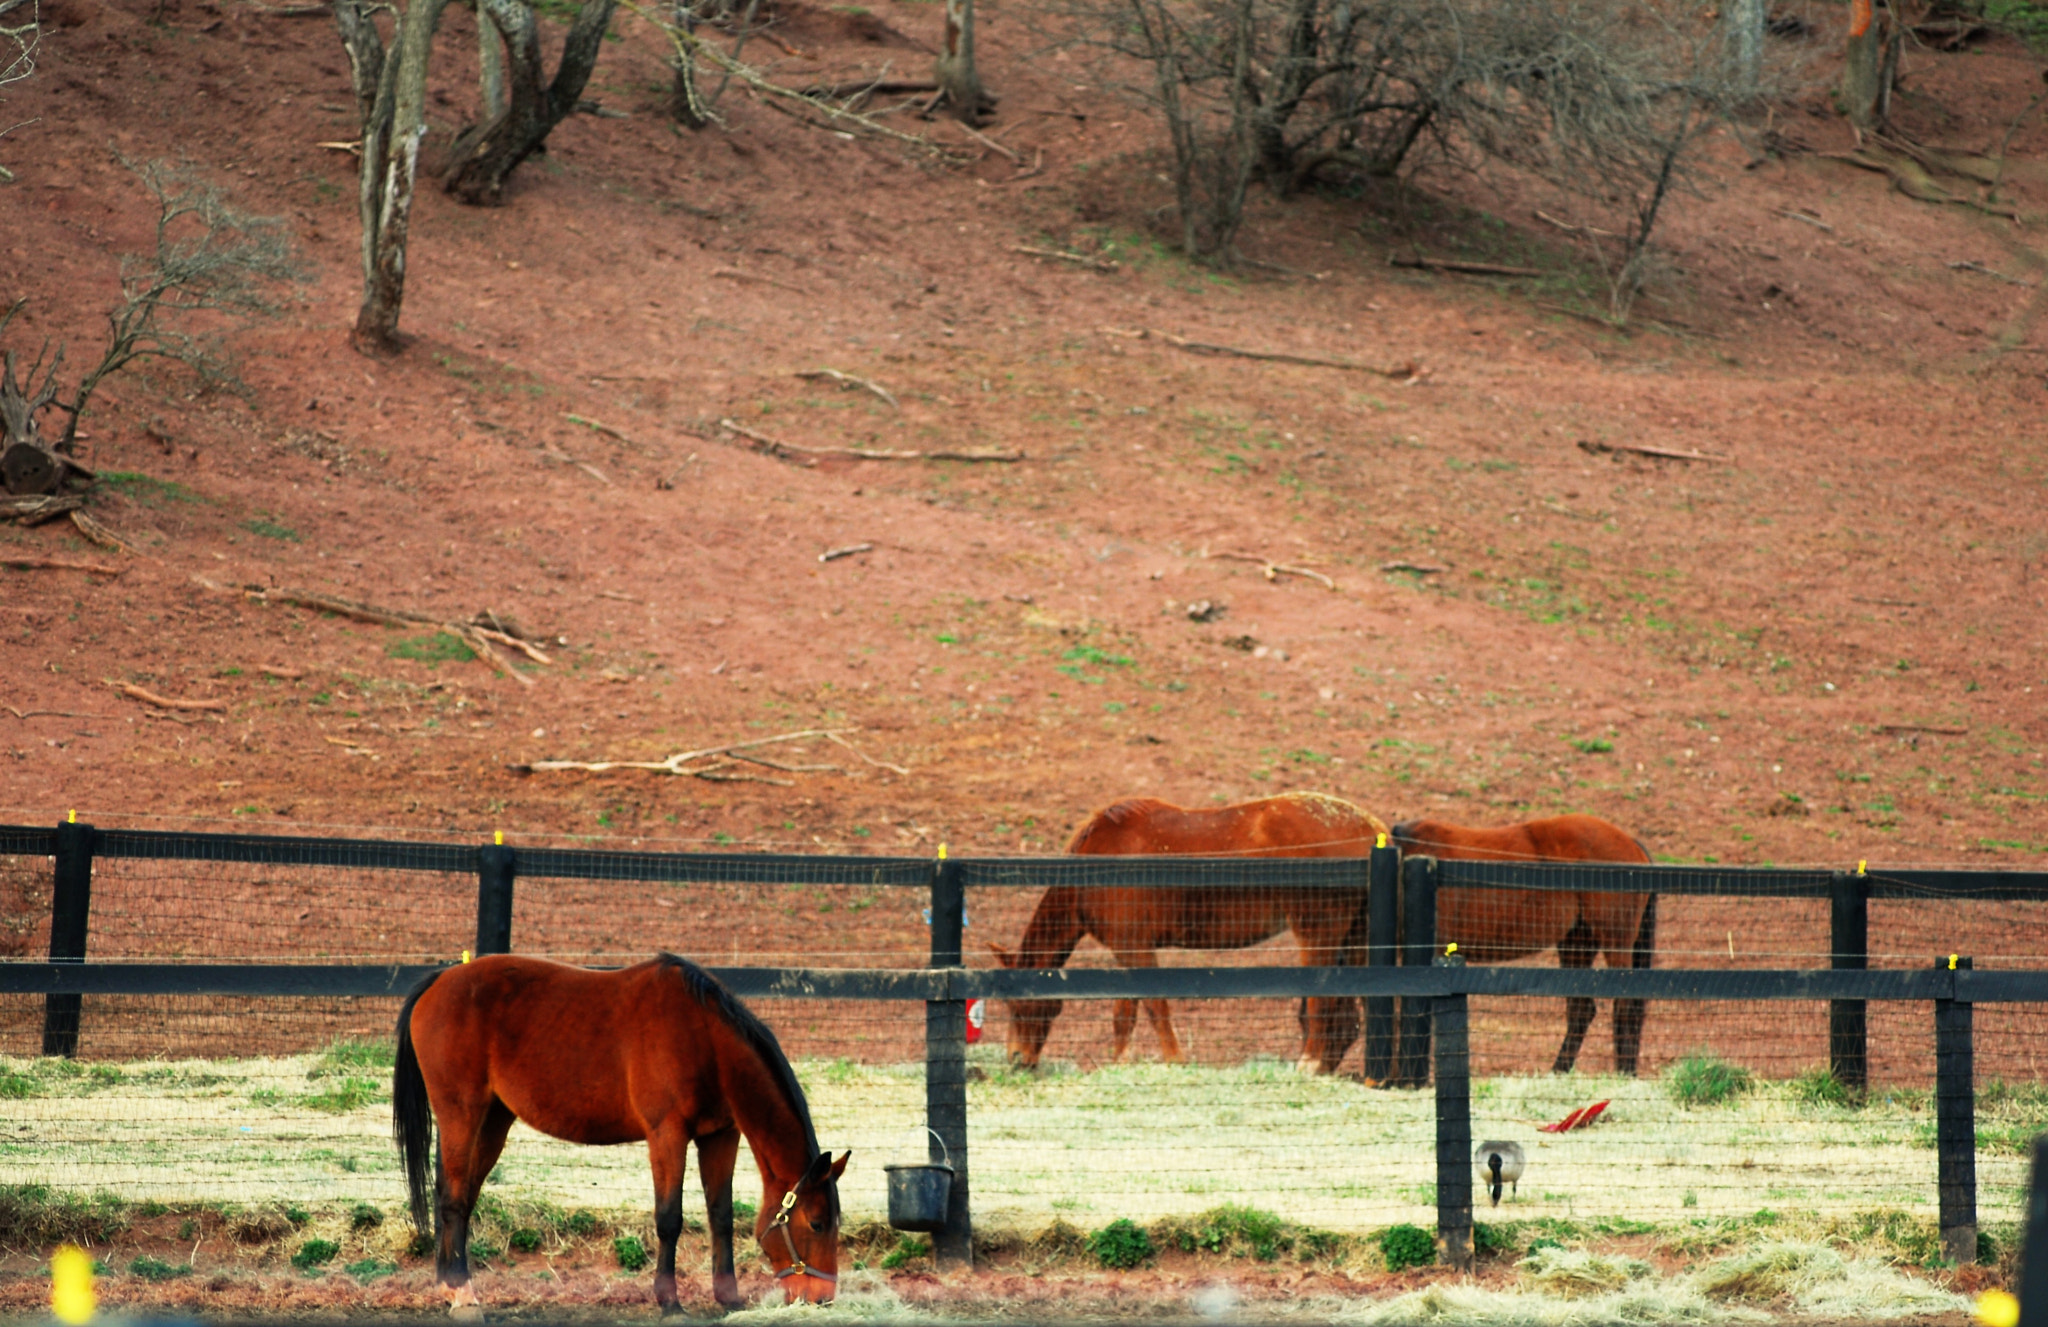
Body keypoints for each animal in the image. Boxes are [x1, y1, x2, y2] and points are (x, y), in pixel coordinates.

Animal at [391, 954, 847, 1318]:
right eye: (817, 1223)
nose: (823, 1298)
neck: (704, 1038)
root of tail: (440, 980)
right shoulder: (667, 1135)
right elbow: (669, 1219)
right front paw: (670, 1303)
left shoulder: (720, 1136)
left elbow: (720, 1214)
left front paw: (728, 1298)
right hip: (461, 1114)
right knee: (452, 1199)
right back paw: (461, 1293)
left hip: (493, 1121)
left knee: (462, 1197)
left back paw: (448, 1284)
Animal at [983, 794, 1384, 1073]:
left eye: (1016, 1003)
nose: (1016, 1058)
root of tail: (1370, 828)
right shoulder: (1128, 950)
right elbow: (1123, 1013)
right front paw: (1120, 1064)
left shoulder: (1135, 949)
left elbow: (1155, 1007)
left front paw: (1174, 1061)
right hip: (1355, 938)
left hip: (1319, 934)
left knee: (1323, 1005)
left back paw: (1309, 1064)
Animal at [1392, 806, 1662, 1081]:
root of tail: (1633, 845)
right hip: (1578, 943)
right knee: (1582, 1010)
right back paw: (1560, 1071)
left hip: (1614, 940)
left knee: (1625, 1006)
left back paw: (1624, 1073)